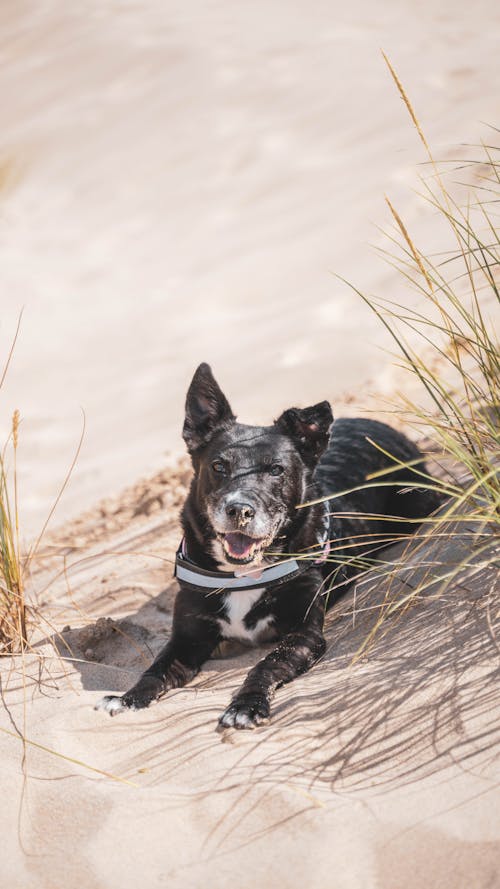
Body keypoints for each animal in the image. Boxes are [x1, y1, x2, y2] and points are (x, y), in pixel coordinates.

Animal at [95, 360, 440, 728]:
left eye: (276, 470)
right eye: (218, 466)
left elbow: (267, 664)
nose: (239, 510)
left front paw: (246, 705)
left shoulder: (304, 634)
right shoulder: (187, 638)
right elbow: (155, 670)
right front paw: (127, 699)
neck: (243, 577)